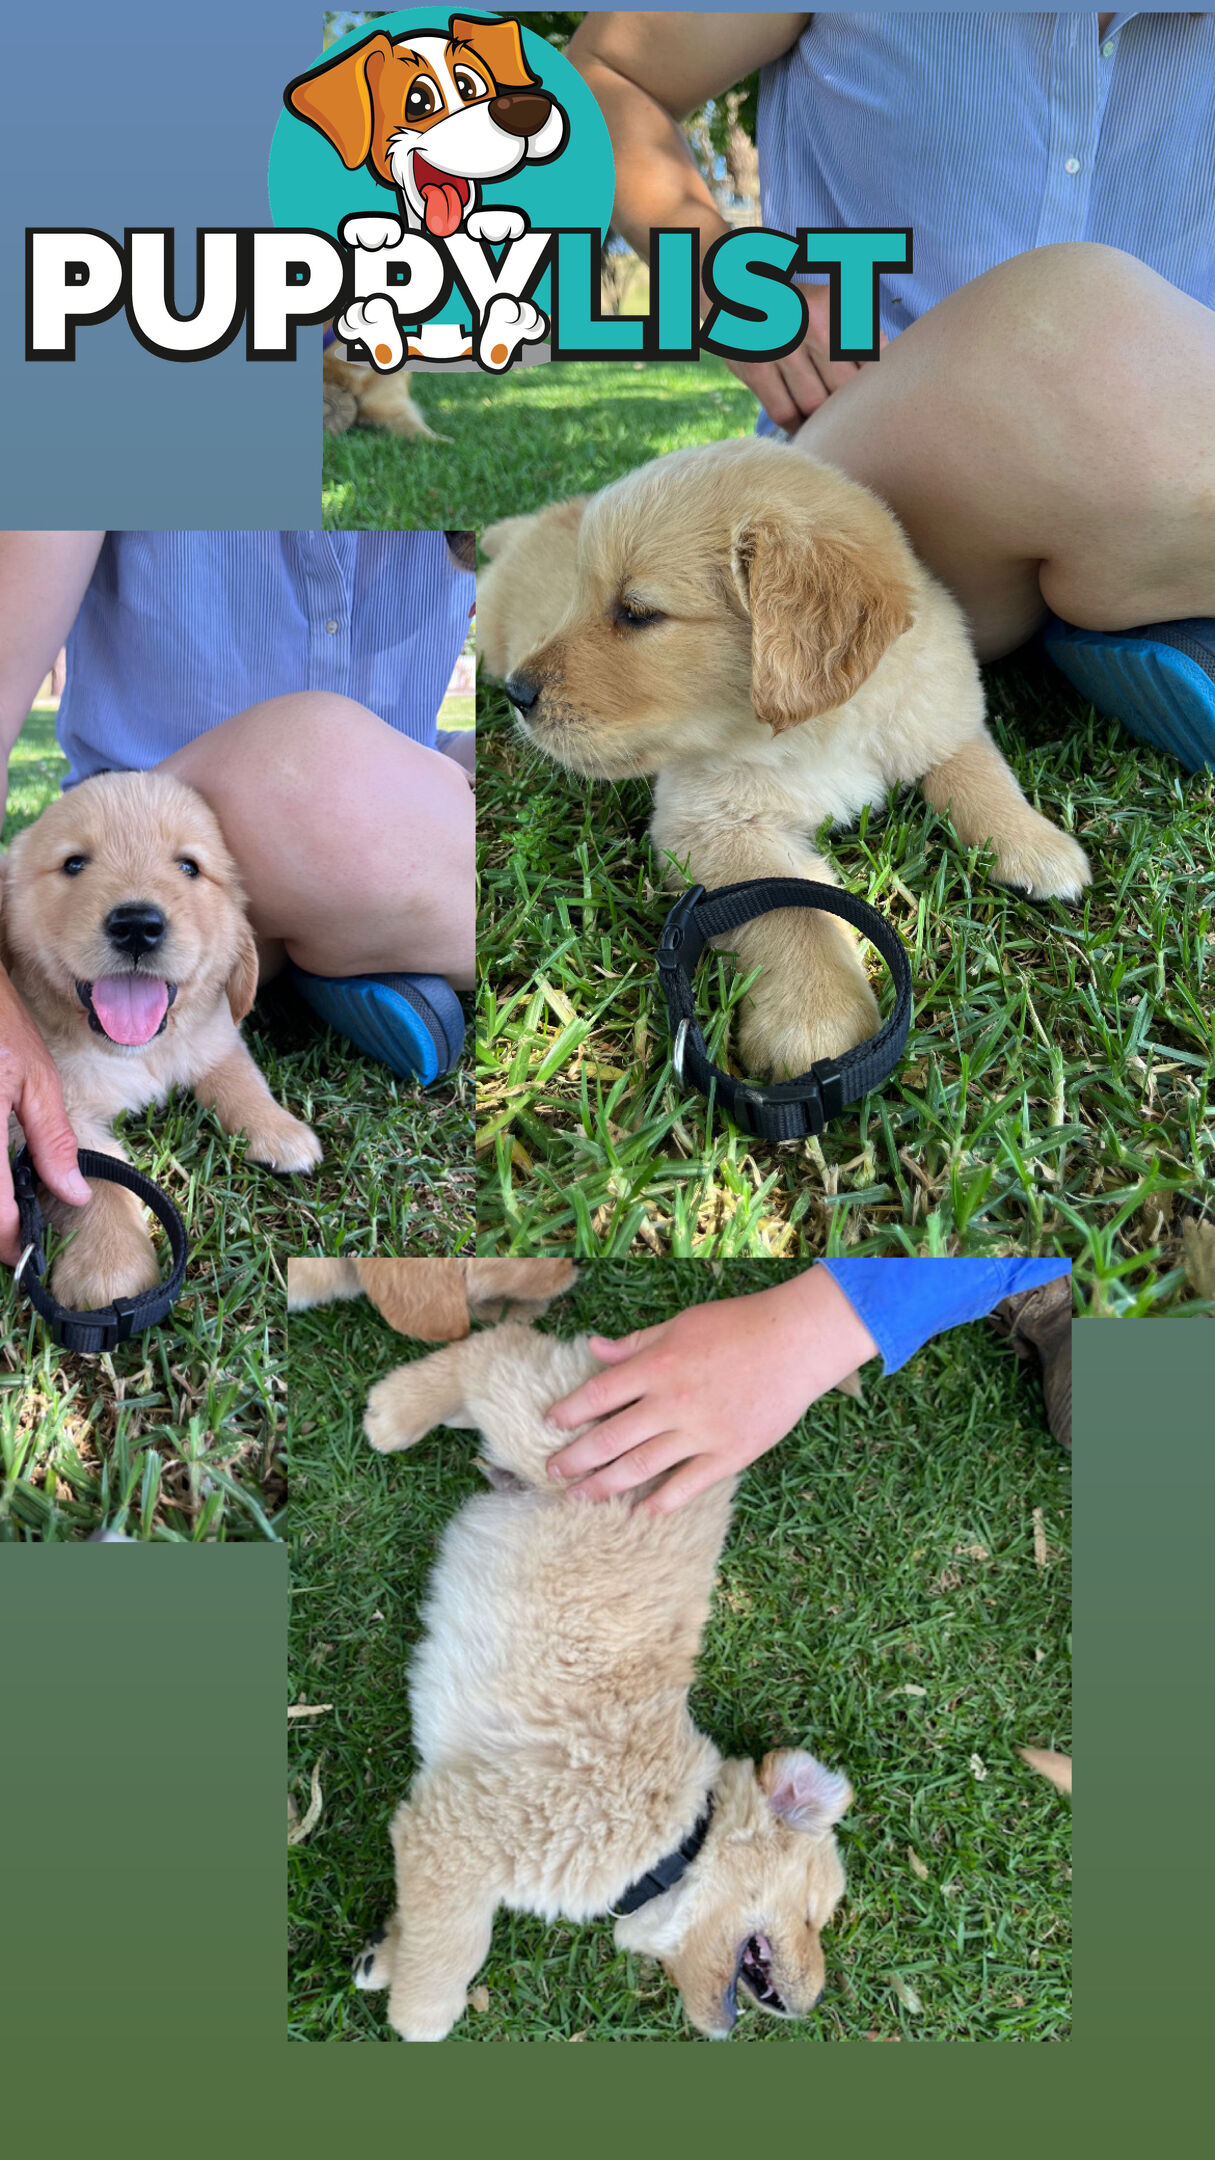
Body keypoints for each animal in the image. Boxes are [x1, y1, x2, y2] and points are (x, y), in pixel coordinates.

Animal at [1, 768, 322, 1304]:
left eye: (189, 867)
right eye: (74, 864)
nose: (136, 926)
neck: (135, 1052)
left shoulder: (216, 1035)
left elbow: (241, 1079)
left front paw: (280, 1131)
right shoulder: (52, 1115)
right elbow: (100, 1178)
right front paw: (109, 1266)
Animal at [350, 1313, 851, 2039]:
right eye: (814, 1915)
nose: (813, 2005)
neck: (682, 1837)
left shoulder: (451, 1837)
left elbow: (432, 1925)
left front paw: (383, 1956)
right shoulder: (460, 1831)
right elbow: (452, 1952)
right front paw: (418, 2014)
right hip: (555, 1432)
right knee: (497, 1346)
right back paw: (395, 1411)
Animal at [475, 438, 1089, 1080]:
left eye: (637, 612)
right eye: (577, 599)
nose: (520, 695)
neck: (816, 732)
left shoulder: (939, 713)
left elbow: (980, 773)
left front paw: (1035, 846)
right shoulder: (712, 825)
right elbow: (793, 905)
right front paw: (815, 1018)